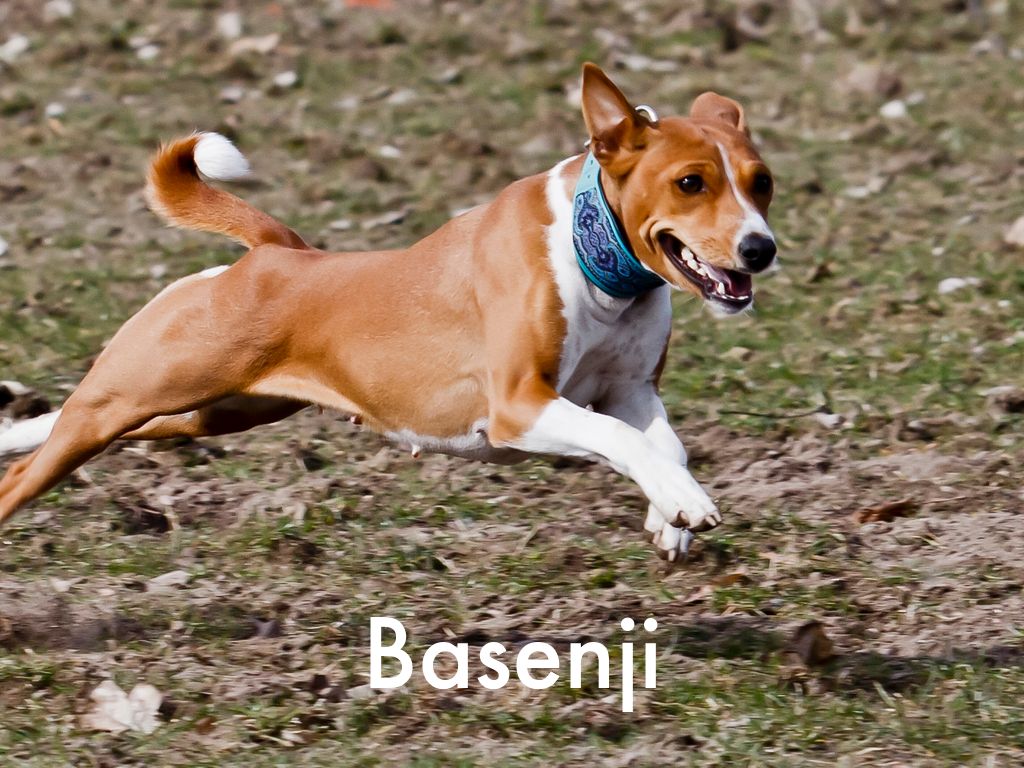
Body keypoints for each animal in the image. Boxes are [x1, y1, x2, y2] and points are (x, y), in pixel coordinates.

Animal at [0, 64, 776, 560]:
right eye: (690, 183)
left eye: (761, 182)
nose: (760, 248)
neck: (598, 259)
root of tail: (276, 253)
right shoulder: (520, 404)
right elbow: (619, 439)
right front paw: (682, 503)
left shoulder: (630, 389)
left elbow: (663, 444)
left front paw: (670, 512)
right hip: (138, 394)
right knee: (34, 466)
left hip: (208, 410)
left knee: (70, 428)